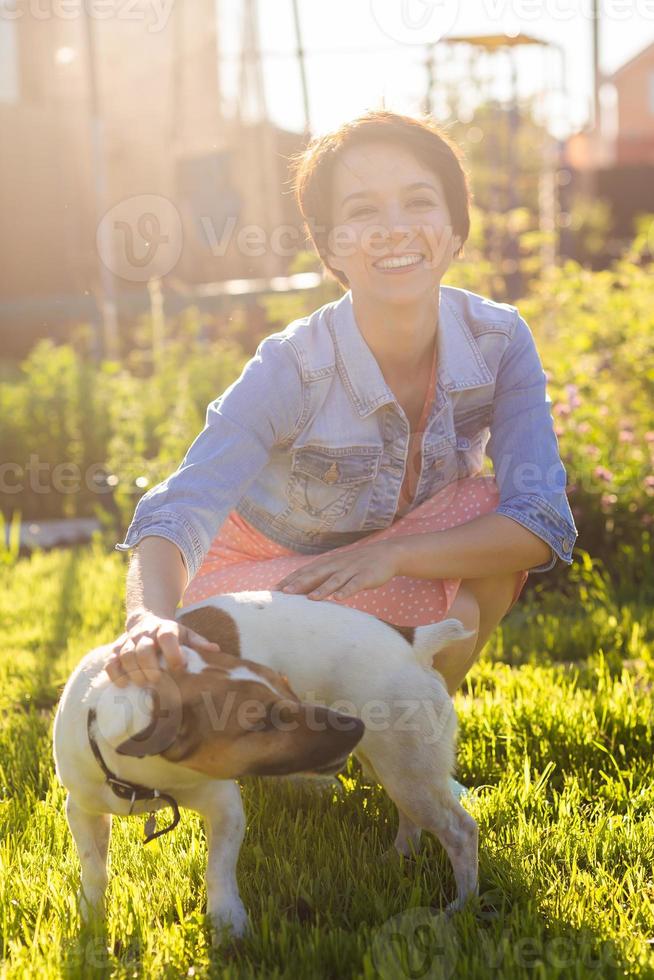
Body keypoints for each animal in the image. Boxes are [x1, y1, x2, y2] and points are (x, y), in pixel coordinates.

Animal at [53, 588, 480, 940]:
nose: (352, 726)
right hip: (392, 765)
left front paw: (228, 924)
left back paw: (462, 905)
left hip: (406, 766)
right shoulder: (81, 810)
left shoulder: (224, 807)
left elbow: (218, 869)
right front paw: (91, 919)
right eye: (262, 721)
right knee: (411, 817)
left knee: (459, 831)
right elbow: (94, 867)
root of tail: (413, 640)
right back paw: (397, 858)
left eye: (287, 687)